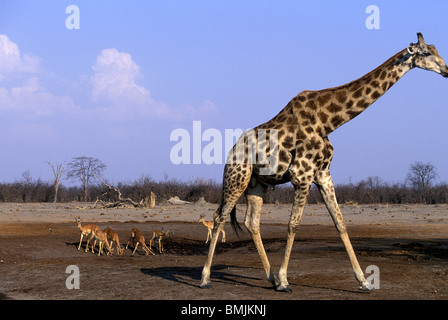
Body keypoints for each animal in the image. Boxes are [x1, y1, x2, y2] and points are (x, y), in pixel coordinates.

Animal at [200, 33, 448, 292]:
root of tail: (232, 151)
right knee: (219, 217)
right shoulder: (302, 175)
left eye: (436, 50)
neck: (329, 122)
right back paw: (206, 278)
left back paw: (270, 278)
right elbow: (293, 224)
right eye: (426, 53)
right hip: (237, 177)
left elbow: (340, 222)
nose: (446, 70)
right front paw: (285, 281)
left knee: (252, 222)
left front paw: (364, 281)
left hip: (258, 184)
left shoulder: (323, 173)